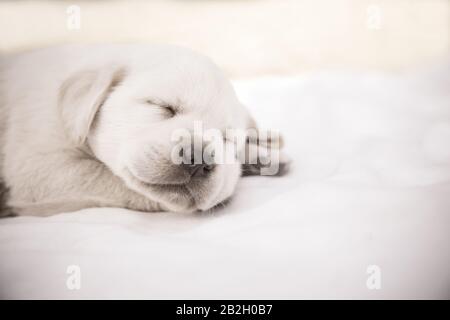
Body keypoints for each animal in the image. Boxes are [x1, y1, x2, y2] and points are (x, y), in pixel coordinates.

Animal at [0, 44, 288, 218]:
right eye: (163, 107)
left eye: (226, 138)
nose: (198, 158)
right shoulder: (42, 168)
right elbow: (114, 181)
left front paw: (262, 154)